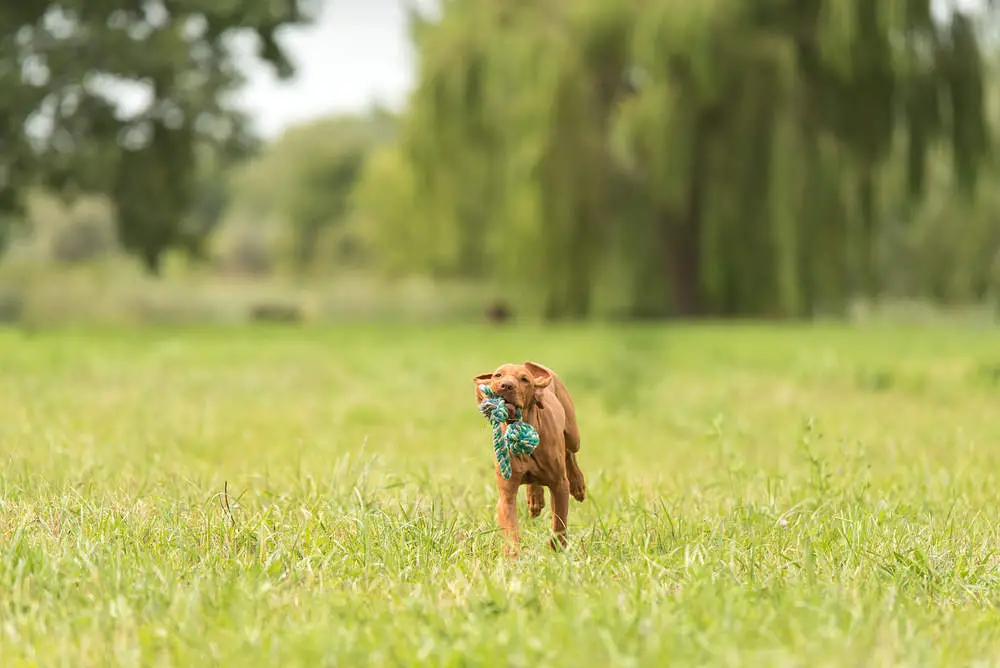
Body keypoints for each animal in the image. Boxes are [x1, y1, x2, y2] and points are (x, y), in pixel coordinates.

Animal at [470, 360, 584, 552]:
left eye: (524, 379)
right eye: (498, 375)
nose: (506, 386)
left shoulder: (559, 485)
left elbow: (559, 523)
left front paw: (558, 549)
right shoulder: (506, 496)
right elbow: (511, 532)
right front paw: (513, 557)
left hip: (572, 435)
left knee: (570, 454)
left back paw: (577, 484)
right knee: (535, 480)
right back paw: (535, 498)